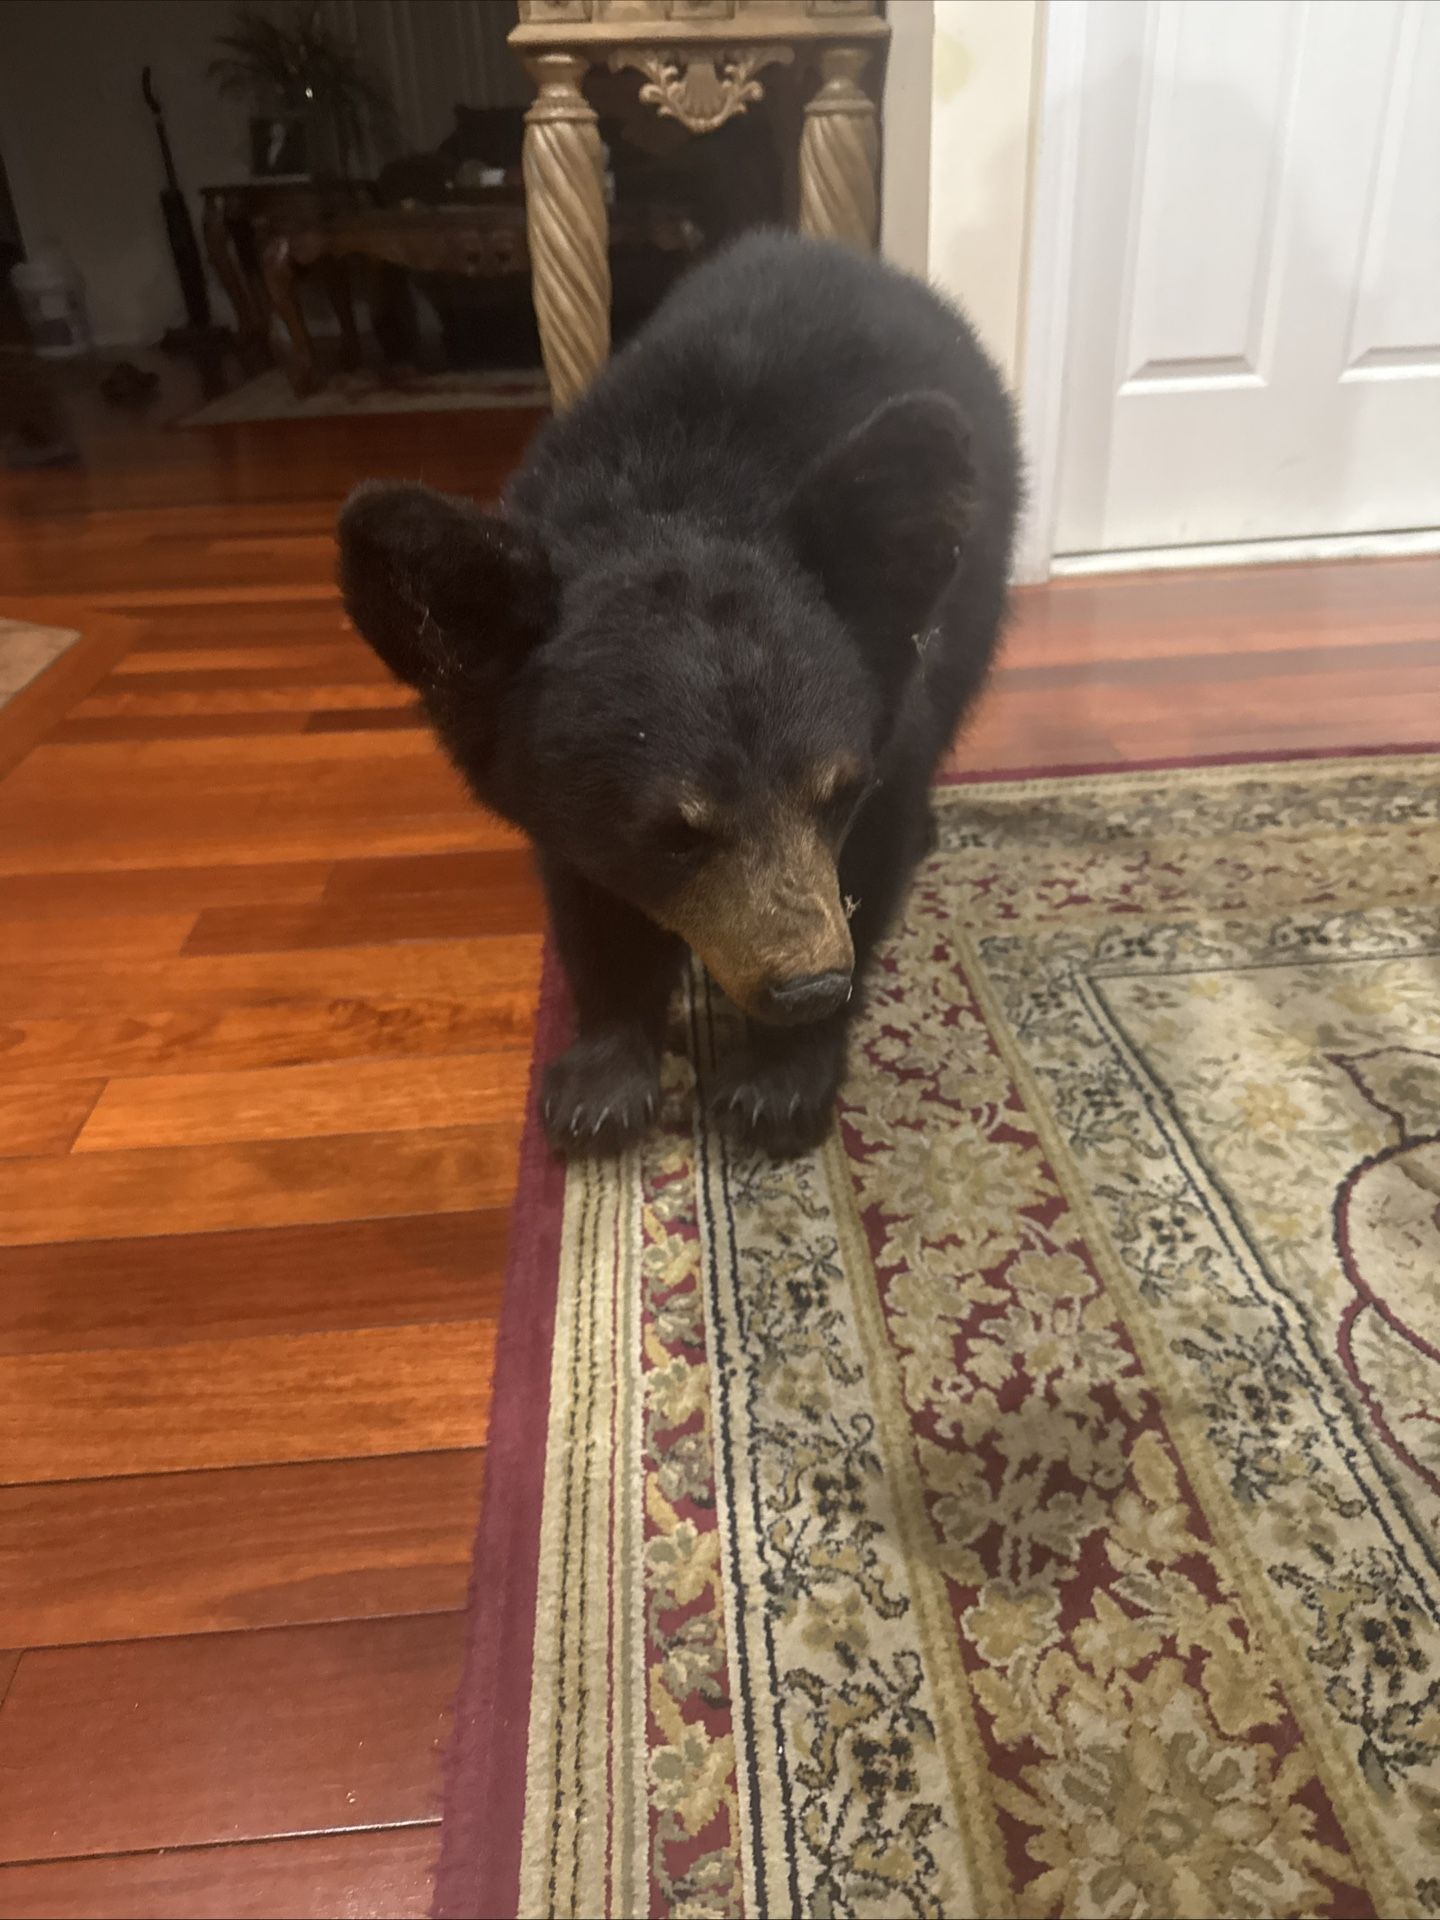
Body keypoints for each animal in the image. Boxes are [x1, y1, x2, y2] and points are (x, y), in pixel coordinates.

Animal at [338, 230, 1020, 1158]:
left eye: (836, 794)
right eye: (672, 834)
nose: (808, 984)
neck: (683, 502)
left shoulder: (891, 742)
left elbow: (871, 864)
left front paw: (784, 1075)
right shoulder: (554, 797)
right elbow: (590, 905)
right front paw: (603, 1076)